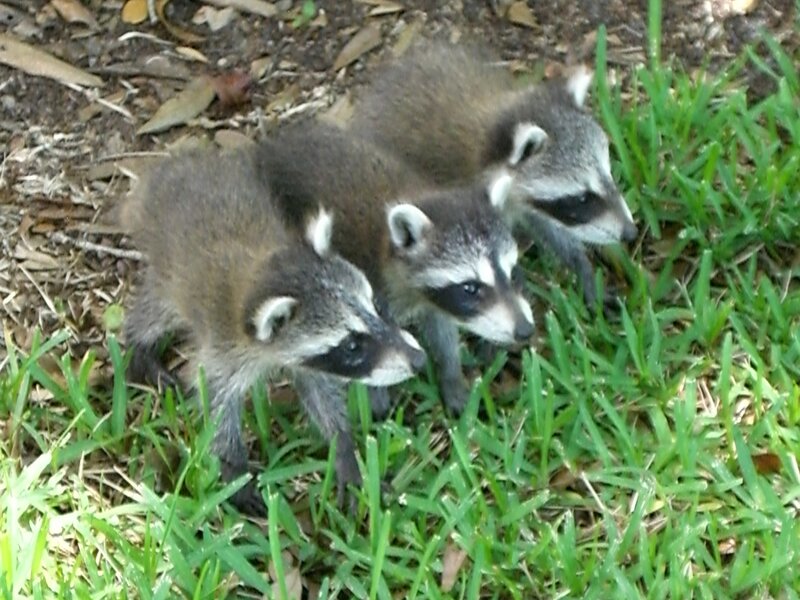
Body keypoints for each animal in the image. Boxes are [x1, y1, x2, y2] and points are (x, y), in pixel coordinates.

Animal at [120, 148, 426, 514]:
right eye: (352, 345)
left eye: (376, 306)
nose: (418, 359)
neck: (262, 272)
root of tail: (169, 165)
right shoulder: (223, 346)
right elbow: (215, 399)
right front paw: (234, 470)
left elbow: (321, 393)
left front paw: (343, 446)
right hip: (167, 266)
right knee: (156, 310)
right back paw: (138, 344)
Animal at [254, 123, 534, 417]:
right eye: (470, 288)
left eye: (513, 272)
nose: (525, 330)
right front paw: (374, 395)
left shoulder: (430, 298)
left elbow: (441, 330)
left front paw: (451, 375)